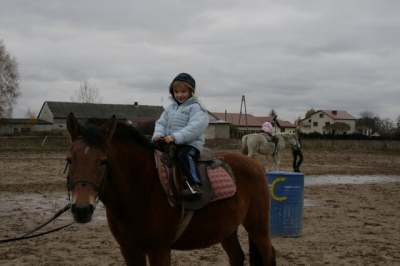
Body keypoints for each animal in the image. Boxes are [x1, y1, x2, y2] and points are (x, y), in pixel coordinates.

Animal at [65, 112, 276, 266]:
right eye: (69, 159)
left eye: (103, 161)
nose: (81, 210)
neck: (141, 188)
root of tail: (254, 164)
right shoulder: (129, 250)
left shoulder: (159, 250)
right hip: (228, 228)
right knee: (237, 257)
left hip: (257, 226)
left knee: (269, 255)